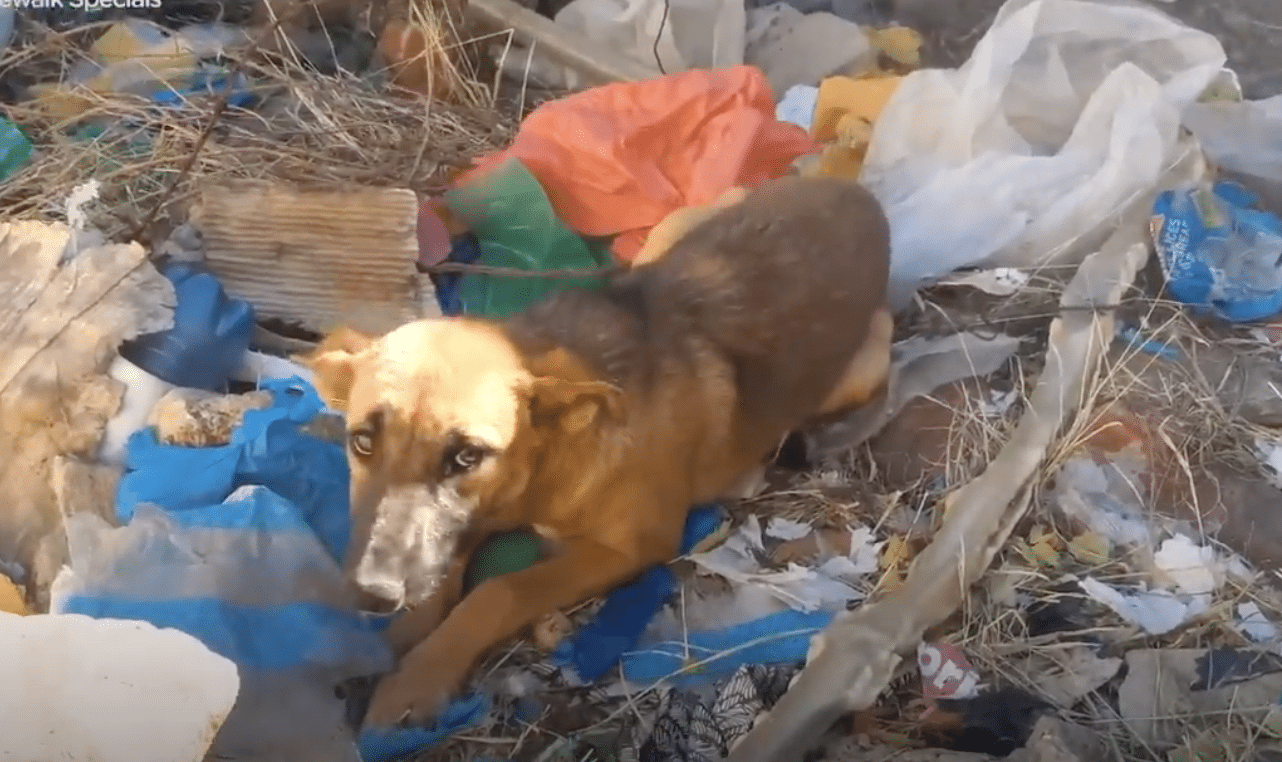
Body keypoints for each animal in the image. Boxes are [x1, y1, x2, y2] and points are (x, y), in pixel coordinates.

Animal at [305, 171, 897, 723]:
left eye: (466, 456)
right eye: (362, 441)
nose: (373, 595)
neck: (546, 467)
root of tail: (857, 193)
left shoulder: (631, 548)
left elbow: (500, 591)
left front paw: (419, 674)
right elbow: (448, 567)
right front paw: (400, 638)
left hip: (862, 369)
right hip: (673, 232)